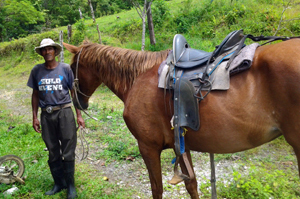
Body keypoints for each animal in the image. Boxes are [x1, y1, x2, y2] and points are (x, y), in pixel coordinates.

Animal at [63, 39, 300, 199]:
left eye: (72, 67)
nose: (76, 102)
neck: (136, 80)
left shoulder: (147, 147)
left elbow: (157, 189)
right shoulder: (182, 145)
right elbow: (191, 183)